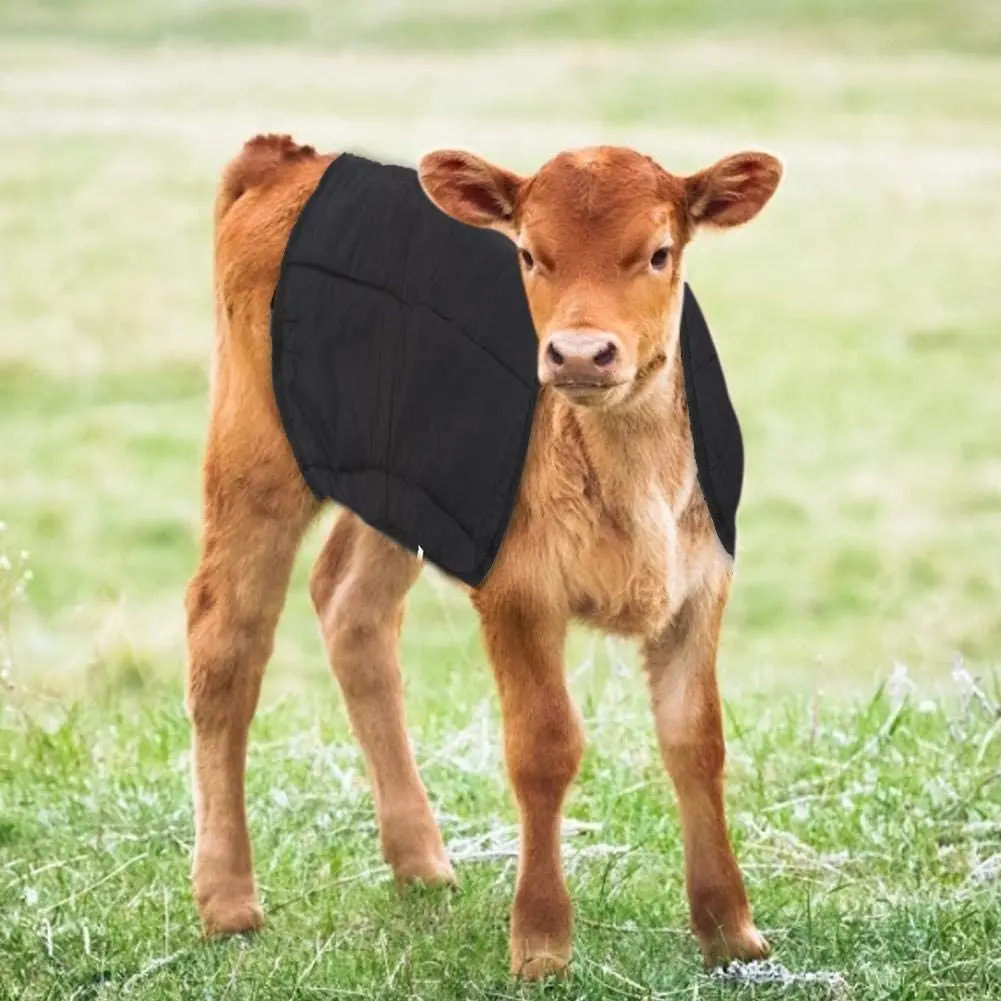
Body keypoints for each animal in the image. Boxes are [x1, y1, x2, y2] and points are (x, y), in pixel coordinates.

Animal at [186, 133, 782, 979]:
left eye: (659, 253)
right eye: (529, 255)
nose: (578, 353)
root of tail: (293, 159)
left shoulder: (698, 585)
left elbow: (696, 741)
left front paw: (729, 931)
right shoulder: (515, 586)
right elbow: (544, 746)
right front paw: (539, 941)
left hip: (403, 491)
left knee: (349, 605)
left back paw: (420, 859)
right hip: (255, 455)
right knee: (224, 638)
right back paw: (228, 899)